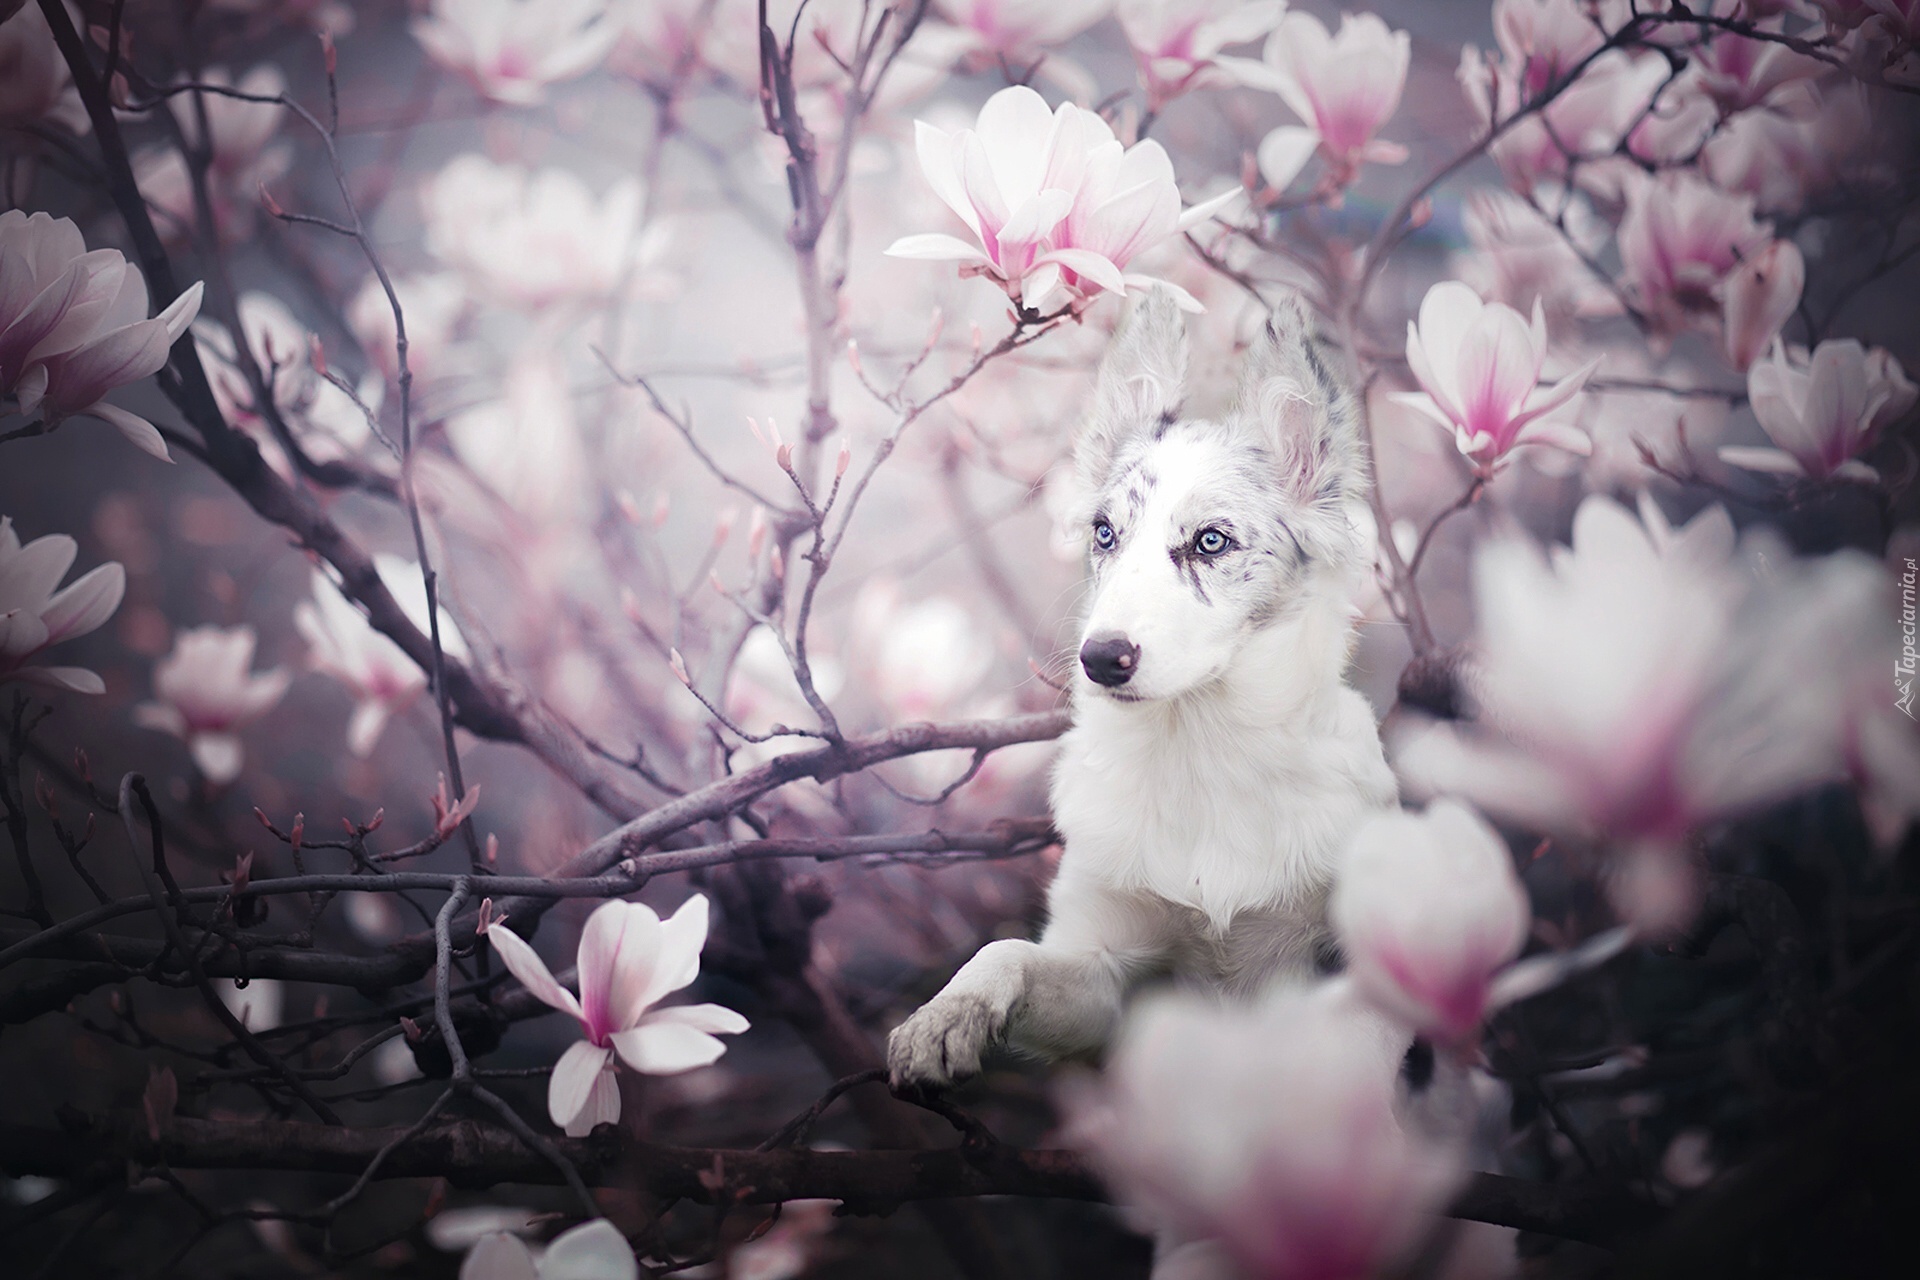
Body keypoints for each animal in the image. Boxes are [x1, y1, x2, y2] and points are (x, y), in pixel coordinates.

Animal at [883, 289, 1397, 1090]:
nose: (1100, 659)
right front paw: (945, 1017)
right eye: (1104, 533)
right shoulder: (1101, 978)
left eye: (1211, 541)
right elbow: (1007, 951)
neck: (1201, 751)